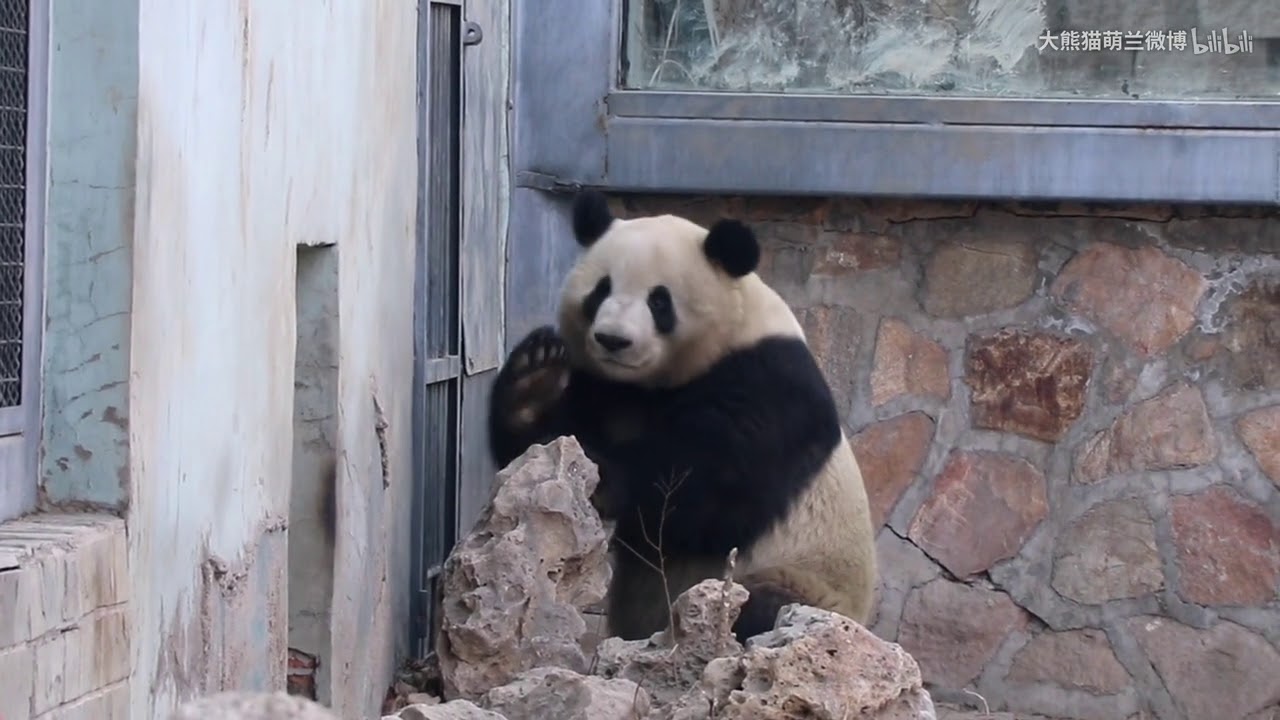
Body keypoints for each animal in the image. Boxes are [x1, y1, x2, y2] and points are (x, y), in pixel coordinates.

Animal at [487, 190, 878, 643]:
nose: (612, 339)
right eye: (601, 290)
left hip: (808, 584)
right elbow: (544, 448)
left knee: (764, 608)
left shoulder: (773, 385)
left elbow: (704, 492)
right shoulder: (604, 386)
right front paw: (536, 381)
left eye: (659, 301)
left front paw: (607, 479)